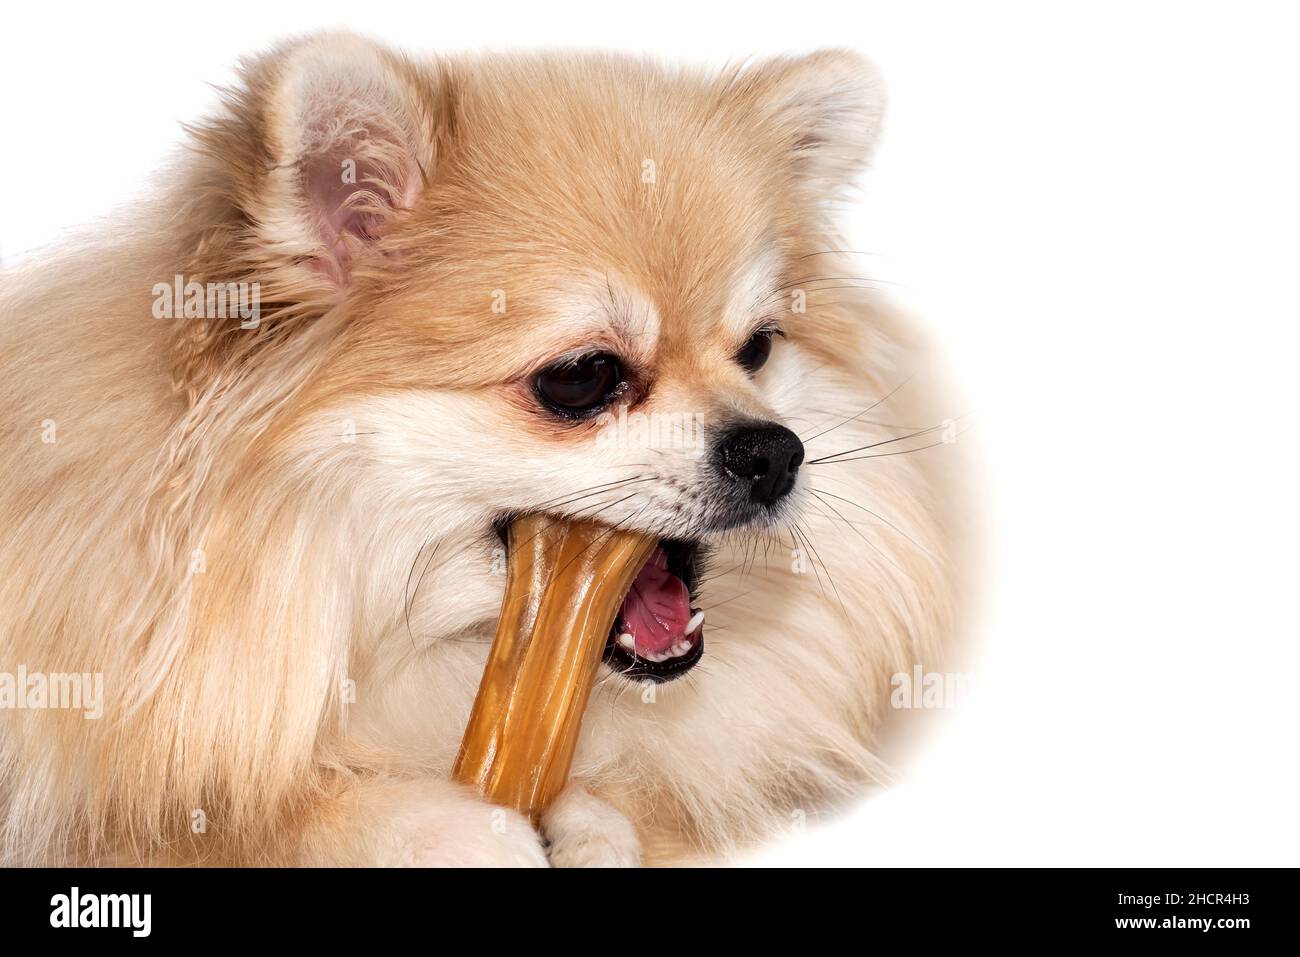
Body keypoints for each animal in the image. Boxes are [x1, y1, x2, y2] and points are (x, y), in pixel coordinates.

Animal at [0, 35, 972, 868]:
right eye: (583, 377)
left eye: (759, 349)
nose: (775, 449)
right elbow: (250, 815)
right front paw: (447, 824)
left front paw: (592, 819)